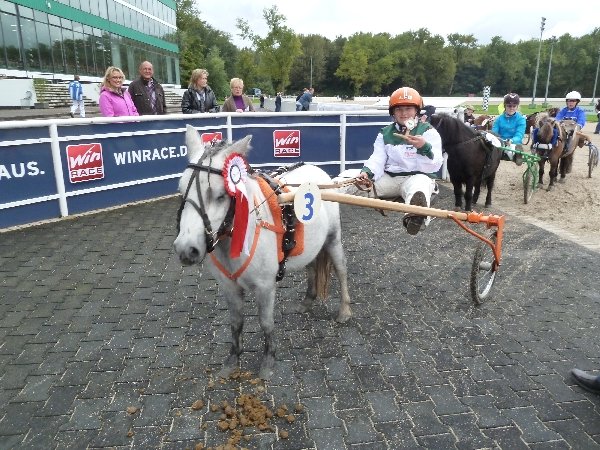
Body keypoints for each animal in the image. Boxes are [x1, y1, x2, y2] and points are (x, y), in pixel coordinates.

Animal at [173, 125, 352, 379]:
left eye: (220, 195)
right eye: (181, 191)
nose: (186, 249)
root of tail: (318, 172)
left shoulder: (266, 286)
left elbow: (266, 323)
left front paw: (268, 362)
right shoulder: (229, 287)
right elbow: (236, 323)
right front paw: (232, 360)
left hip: (333, 239)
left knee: (341, 270)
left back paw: (344, 310)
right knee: (311, 267)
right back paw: (307, 301)